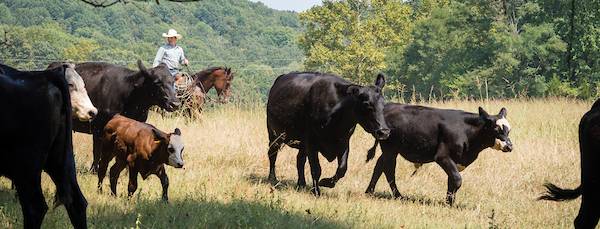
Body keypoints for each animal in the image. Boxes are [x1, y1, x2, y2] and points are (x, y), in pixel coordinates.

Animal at [364, 104, 512, 205]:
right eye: (496, 129)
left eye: (508, 130)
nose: (509, 146)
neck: (466, 131)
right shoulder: (442, 156)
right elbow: (457, 180)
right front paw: (450, 203)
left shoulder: (455, 160)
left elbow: (451, 181)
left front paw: (449, 202)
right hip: (390, 150)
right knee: (389, 170)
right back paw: (397, 195)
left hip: (390, 151)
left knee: (379, 166)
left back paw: (370, 191)